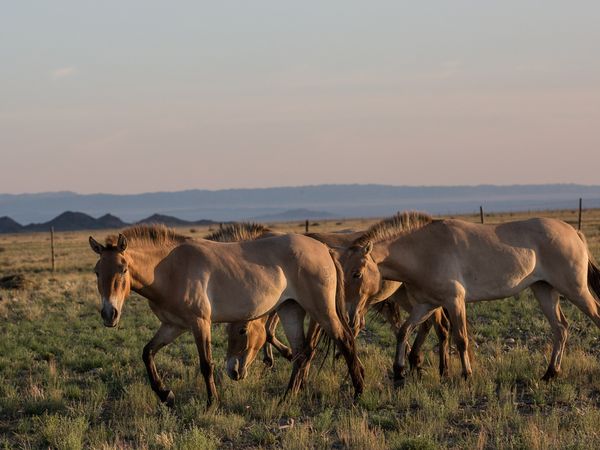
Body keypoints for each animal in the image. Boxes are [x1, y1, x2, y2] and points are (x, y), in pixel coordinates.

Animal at [88, 223, 360, 406]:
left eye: (123, 269)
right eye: (97, 272)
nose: (109, 314)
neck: (169, 268)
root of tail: (324, 249)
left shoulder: (200, 324)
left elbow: (206, 364)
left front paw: (212, 402)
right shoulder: (173, 326)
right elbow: (147, 353)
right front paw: (165, 395)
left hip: (321, 310)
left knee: (344, 340)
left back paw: (358, 392)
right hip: (290, 309)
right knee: (301, 352)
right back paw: (287, 397)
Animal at [338, 209, 600, 384]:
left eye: (357, 274)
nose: (349, 316)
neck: (424, 251)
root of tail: (574, 231)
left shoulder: (455, 302)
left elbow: (461, 338)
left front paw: (466, 375)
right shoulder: (426, 305)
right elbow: (404, 331)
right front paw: (399, 370)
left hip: (575, 290)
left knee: (593, 316)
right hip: (544, 290)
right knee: (561, 328)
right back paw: (550, 373)